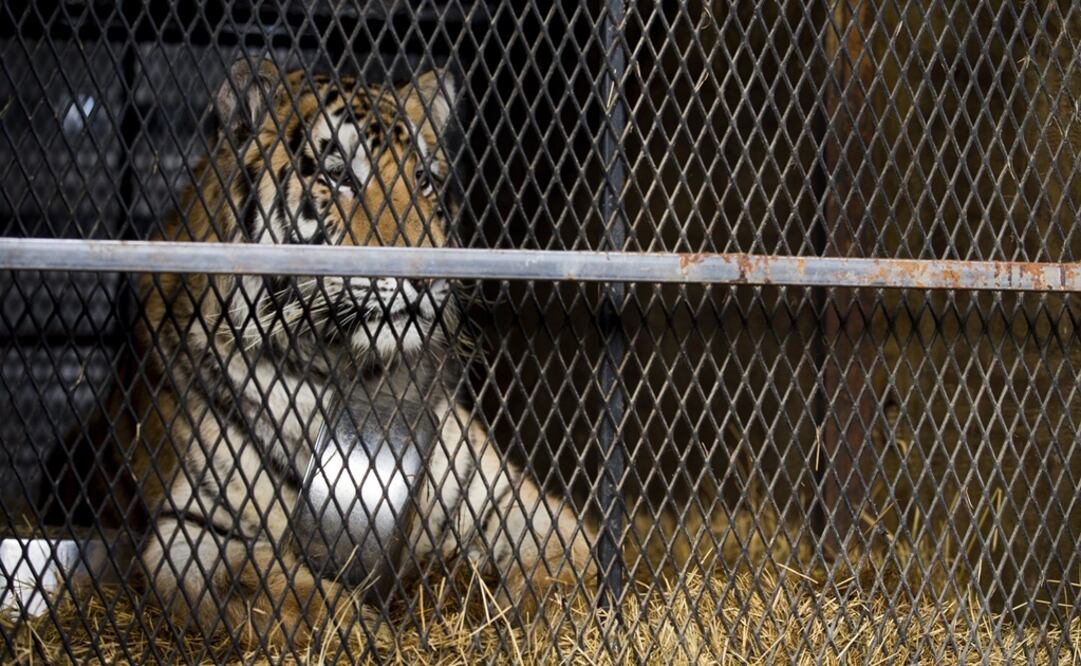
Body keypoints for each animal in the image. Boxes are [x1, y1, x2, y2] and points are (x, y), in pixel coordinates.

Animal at [93, 57, 594, 650]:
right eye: (341, 177)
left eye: (424, 180)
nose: (428, 276)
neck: (355, 375)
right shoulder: (189, 531)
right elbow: (271, 585)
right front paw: (365, 634)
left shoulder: (497, 489)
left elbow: (567, 552)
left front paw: (562, 621)